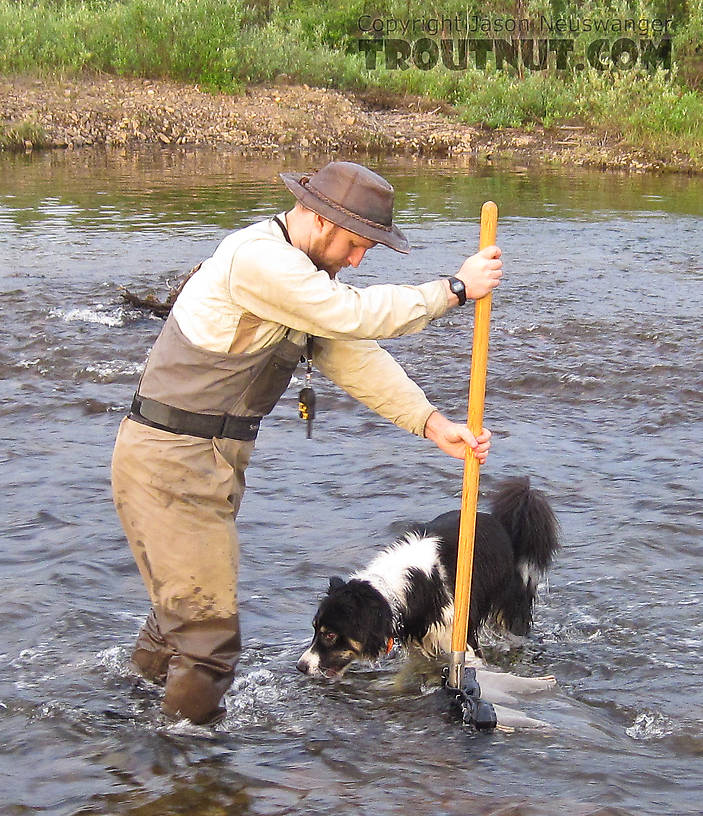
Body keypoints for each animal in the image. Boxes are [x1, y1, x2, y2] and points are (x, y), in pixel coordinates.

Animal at [296, 474, 560, 684]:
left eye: (330, 634)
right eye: (315, 629)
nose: (300, 667)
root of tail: (503, 526)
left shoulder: (461, 639)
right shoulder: (418, 640)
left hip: (510, 608)